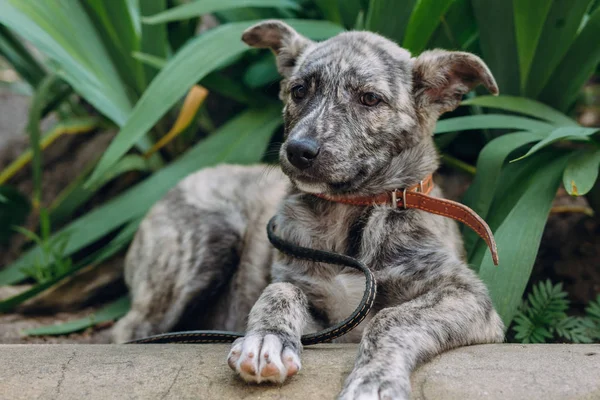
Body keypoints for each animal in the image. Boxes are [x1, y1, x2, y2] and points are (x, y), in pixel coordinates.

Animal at [113, 21, 506, 400]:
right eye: (299, 90)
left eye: (369, 98)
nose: (299, 151)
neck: (350, 213)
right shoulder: (318, 309)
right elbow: (282, 290)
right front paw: (266, 340)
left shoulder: (468, 296)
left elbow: (392, 318)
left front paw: (374, 381)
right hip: (204, 245)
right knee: (126, 330)